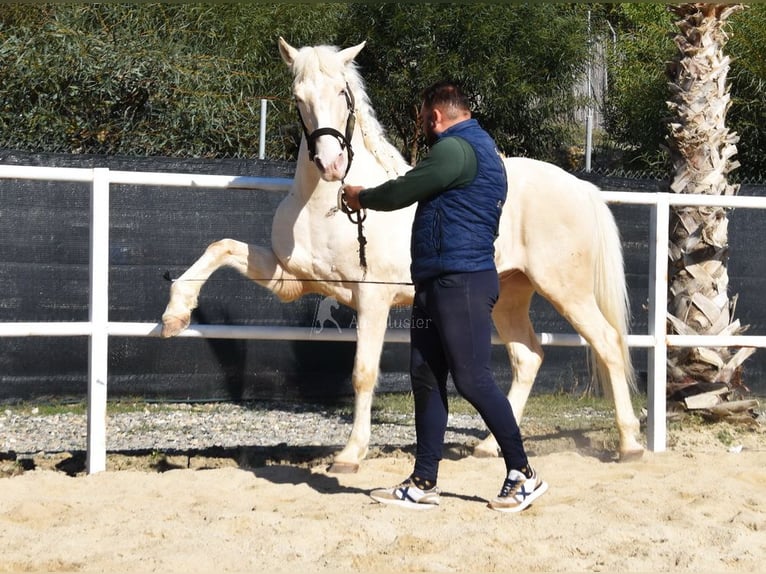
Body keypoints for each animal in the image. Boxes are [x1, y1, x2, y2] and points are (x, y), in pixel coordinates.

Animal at [164, 39, 648, 472]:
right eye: (298, 97)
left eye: (342, 93)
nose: (332, 165)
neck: (325, 206)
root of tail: (581, 186)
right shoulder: (290, 279)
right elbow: (221, 247)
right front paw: (176, 315)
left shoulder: (371, 298)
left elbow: (363, 373)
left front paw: (350, 455)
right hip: (511, 295)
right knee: (528, 357)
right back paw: (489, 447)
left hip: (566, 290)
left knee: (607, 342)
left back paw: (630, 445)